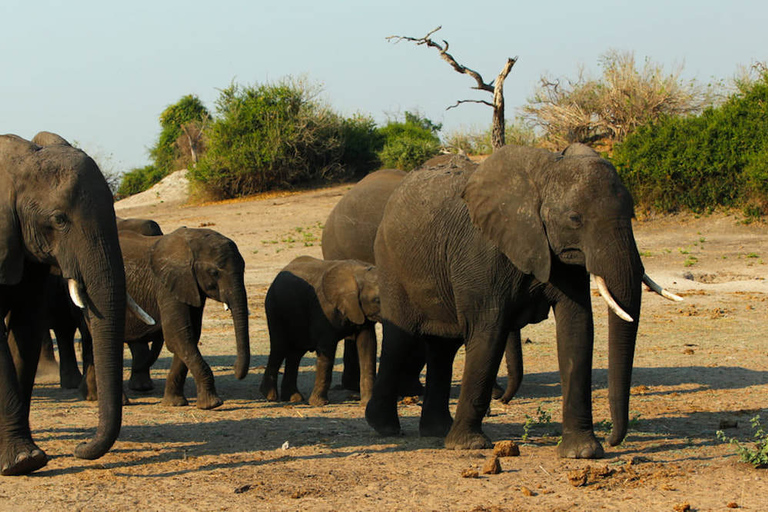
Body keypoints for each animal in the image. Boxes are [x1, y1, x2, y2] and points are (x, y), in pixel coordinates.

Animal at [262, 256, 382, 408]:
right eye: (377, 300)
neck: (358, 273)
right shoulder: (323, 310)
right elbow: (327, 350)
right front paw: (319, 404)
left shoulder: (361, 311)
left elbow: (368, 346)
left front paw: (367, 404)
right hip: (274, 308)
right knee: (279, 348)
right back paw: (270, 397)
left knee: (295, 354)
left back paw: (293, 398)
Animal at [368, 143, 676, 456]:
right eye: (574, 219)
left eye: (632, 213)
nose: (614, 438)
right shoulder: (480, 253)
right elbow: (489, 332)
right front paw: (470, 445)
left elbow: (577, 329)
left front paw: (583, 452)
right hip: (391, 263)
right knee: (400, 339)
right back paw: (386, 427)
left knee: (444, 348)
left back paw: (437, 430)